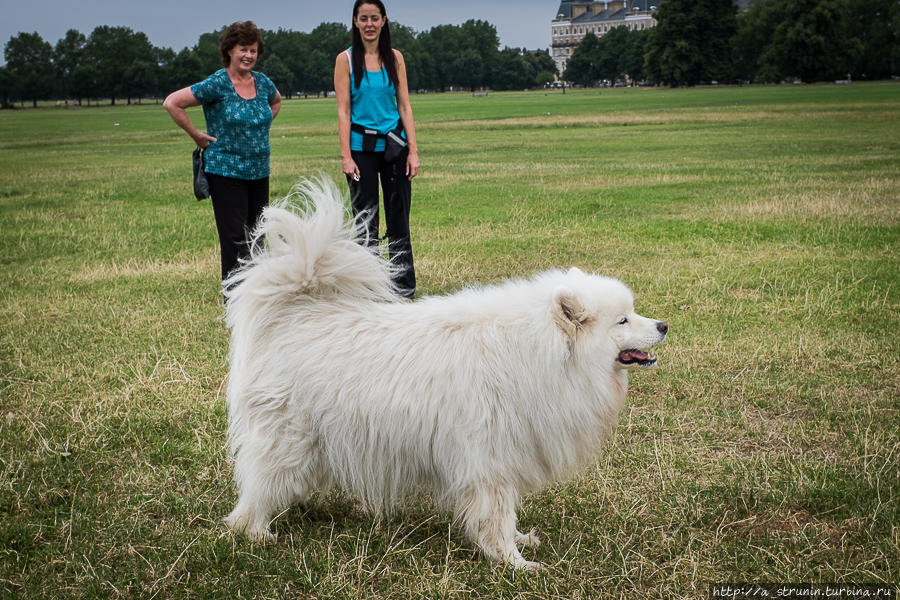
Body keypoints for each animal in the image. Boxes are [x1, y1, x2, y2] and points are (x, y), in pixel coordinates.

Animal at [221, 176, 664, 568]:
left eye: (632, 313)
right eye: (623, 320)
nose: (663, 326)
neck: (540, 350)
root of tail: (294, 317)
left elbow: (506, 516)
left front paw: (520, 543)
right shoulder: (491, 463)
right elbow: (496, 517)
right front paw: (514, 562)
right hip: (289, 440)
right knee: (257, 489)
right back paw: (256, 532)